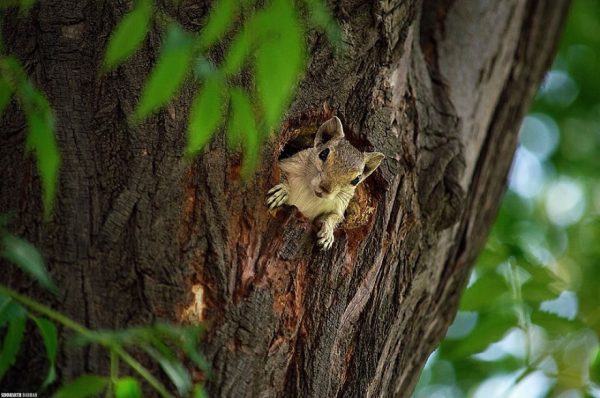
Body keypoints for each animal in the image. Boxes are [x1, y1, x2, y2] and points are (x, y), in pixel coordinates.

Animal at [268, 116, 384, 250]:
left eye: (356, 180)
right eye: (323, 154)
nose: (325, 188)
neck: (311, 194)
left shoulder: (339, 205)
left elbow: (335, 217)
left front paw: (328, 232)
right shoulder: (288, 164)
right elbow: (281, 174)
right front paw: (282, 190)